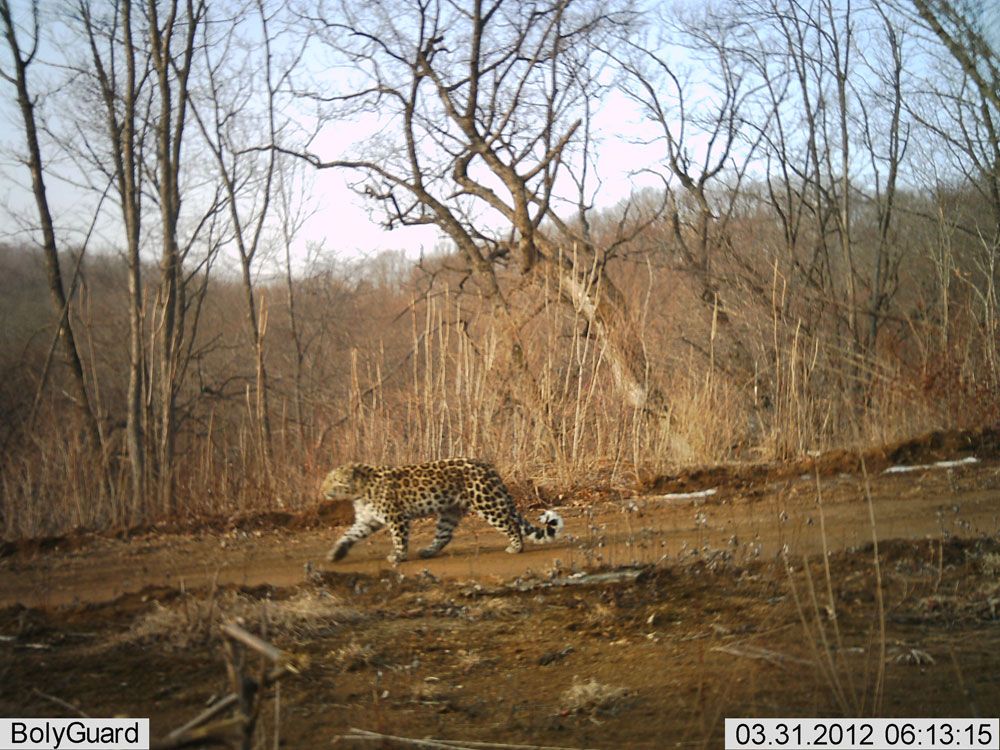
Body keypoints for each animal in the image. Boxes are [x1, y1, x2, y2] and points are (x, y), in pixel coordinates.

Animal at [324, 458, 568, 564]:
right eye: (328, 480)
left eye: (335, 481)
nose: (325, 491)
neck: (359, 491)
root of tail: (488, 467)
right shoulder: (367, 520)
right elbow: (348, 535)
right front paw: (334, 554)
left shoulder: (396, 517)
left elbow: (399, 539)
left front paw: (398, 556)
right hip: (450, 511)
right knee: (444, 535)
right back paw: (428, 551)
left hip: (487, 502)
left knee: (510, 523)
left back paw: (515, 547)